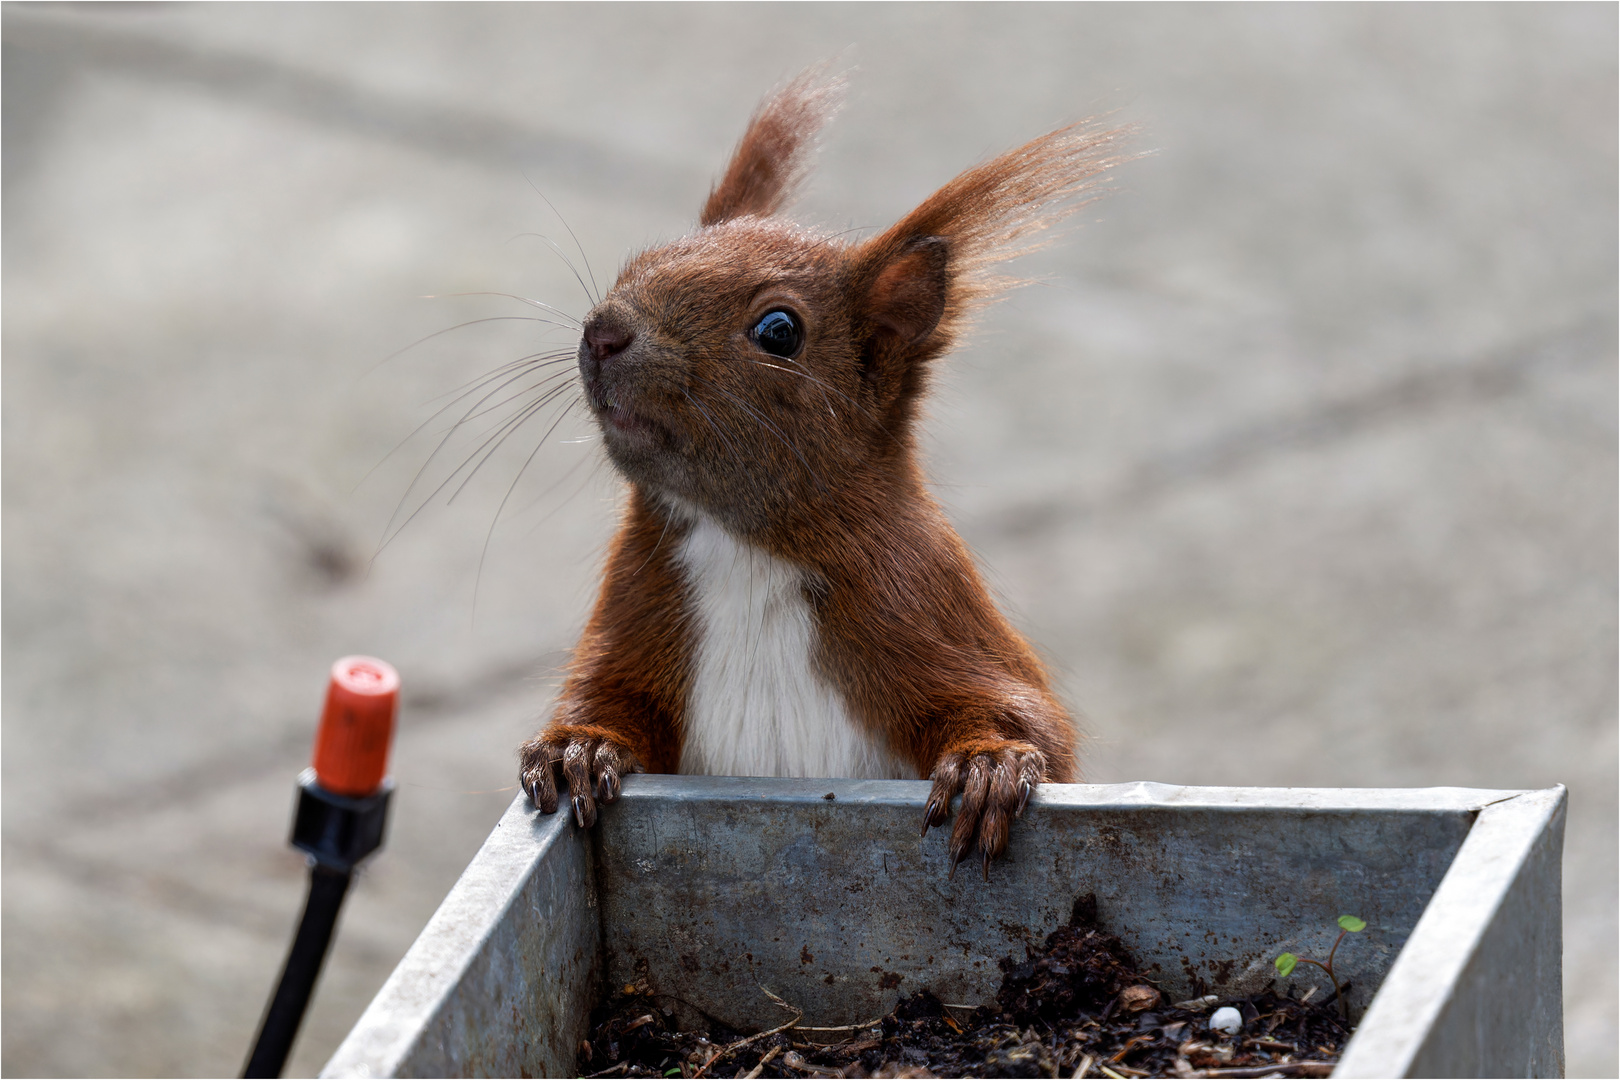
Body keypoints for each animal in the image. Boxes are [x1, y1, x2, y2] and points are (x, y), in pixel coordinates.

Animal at [518, 65, 1127, 880]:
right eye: (639, 260)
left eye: (779, 330)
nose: (603, 331)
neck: (745, 547)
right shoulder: (636, 615)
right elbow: (607, 694)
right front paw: (577, 749)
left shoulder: (925, 605)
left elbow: (1029, 723)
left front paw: (990, 767)